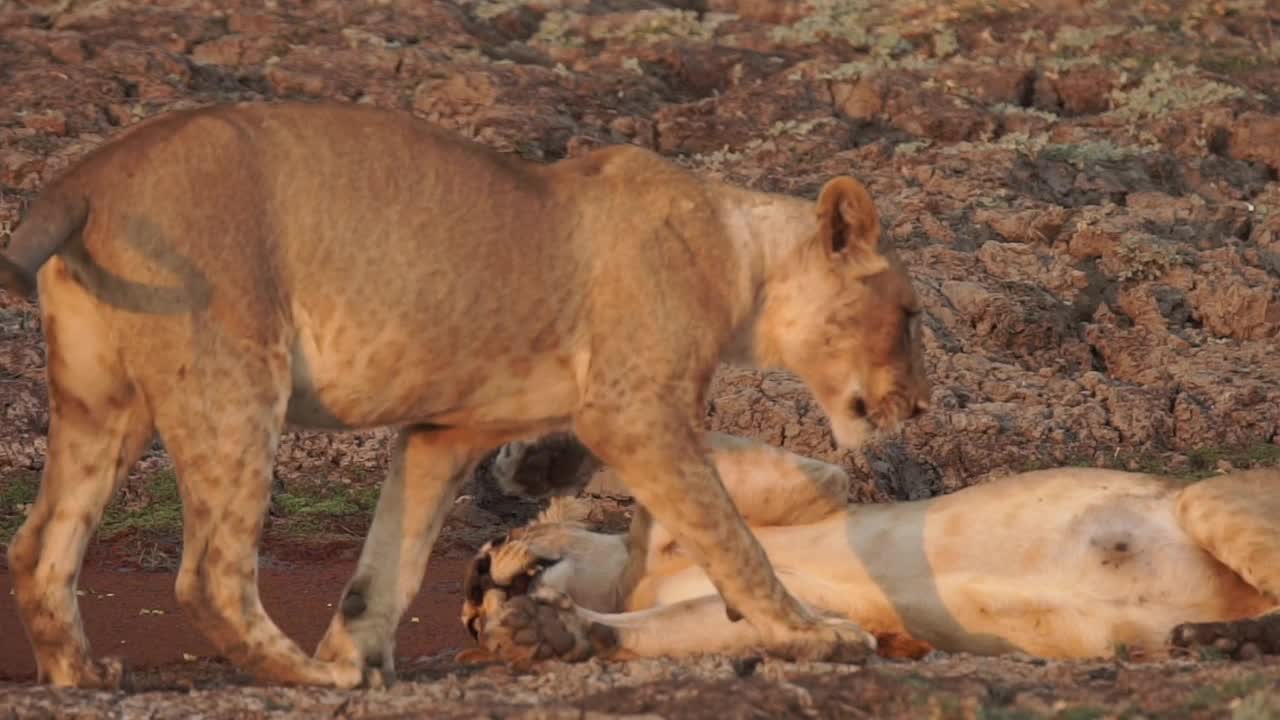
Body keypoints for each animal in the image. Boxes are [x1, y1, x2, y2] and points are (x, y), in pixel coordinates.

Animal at [460, 430, 1280, 661]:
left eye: (497, 541)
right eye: (465, 621)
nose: (472, 591)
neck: (629, 578)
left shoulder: (814, 483)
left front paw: (533, 463)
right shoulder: (799, 610)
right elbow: (673, 631)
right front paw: (540, 635)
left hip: (1205, 496)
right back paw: (1216, 639)